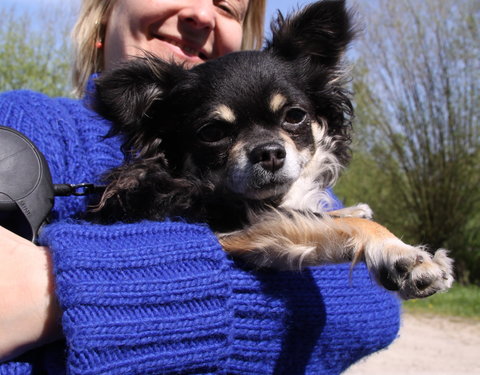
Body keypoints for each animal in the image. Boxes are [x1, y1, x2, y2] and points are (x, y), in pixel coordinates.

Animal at [91, 0, 454, 300]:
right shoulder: (237, 233)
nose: (268, 152)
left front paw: (354, 209)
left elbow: (316, 214)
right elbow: (325, 224)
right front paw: (403, 255)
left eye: (294, 116)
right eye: (213, 133)